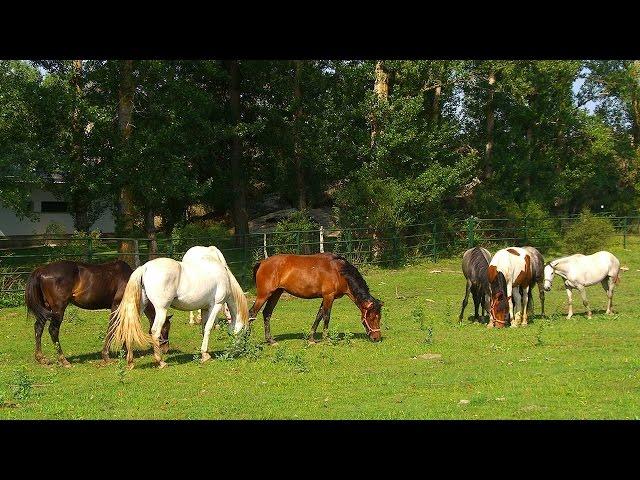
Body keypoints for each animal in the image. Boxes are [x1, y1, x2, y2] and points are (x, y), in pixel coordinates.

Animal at [24, 260, 171, 366]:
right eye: (166, 328)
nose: (166, 349)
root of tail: (41, 270)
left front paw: (124, 351)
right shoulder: (116, 306)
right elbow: (112, 328)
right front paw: (107, 356)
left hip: (46, 308)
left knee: (38, 327)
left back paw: (41, 358)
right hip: (58, 309)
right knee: (53, 330)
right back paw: (63, 360)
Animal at [107, 255, 248, 368]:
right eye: (245, 331)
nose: (239, 350)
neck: (225, 277)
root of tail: (145, 267)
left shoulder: (205, 308)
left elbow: (203, 328)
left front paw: (204, 354)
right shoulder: (216, 305)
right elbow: (208, 327)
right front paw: (205, 355)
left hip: (140, 308)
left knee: (131, 328)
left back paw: (130, 362)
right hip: (161, 310)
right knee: (155, 332)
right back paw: (161, 362)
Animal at [248, 253, 382, 344]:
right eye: (372, 317)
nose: (377, 338)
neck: (339, 271)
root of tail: (262, 263)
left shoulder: (326, 298)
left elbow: (319, 316)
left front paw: (311, 339)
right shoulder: (329, 296)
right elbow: (326, 316)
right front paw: (326, 338)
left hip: (276, 293)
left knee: (267, 313)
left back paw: (270, 340)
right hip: (264, 295)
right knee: (252, 313)